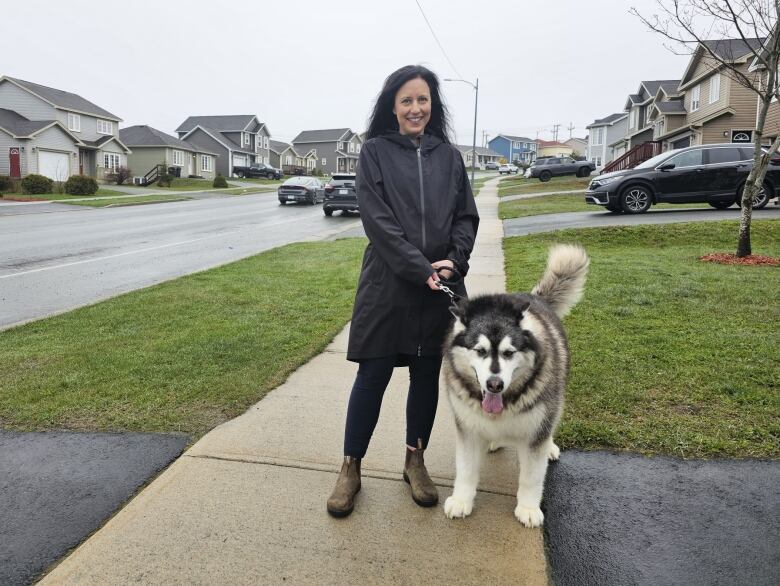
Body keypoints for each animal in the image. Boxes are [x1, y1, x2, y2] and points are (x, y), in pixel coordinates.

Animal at [442, 244, 588, 528]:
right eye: (480, 351)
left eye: (509, 353)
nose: (494, 385)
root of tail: (536, 298)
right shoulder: (467, 426)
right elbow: (465, 468)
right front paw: (462, 500)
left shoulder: (535, 431)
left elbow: (531, 476)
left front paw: (528, 508)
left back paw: (550, 447)